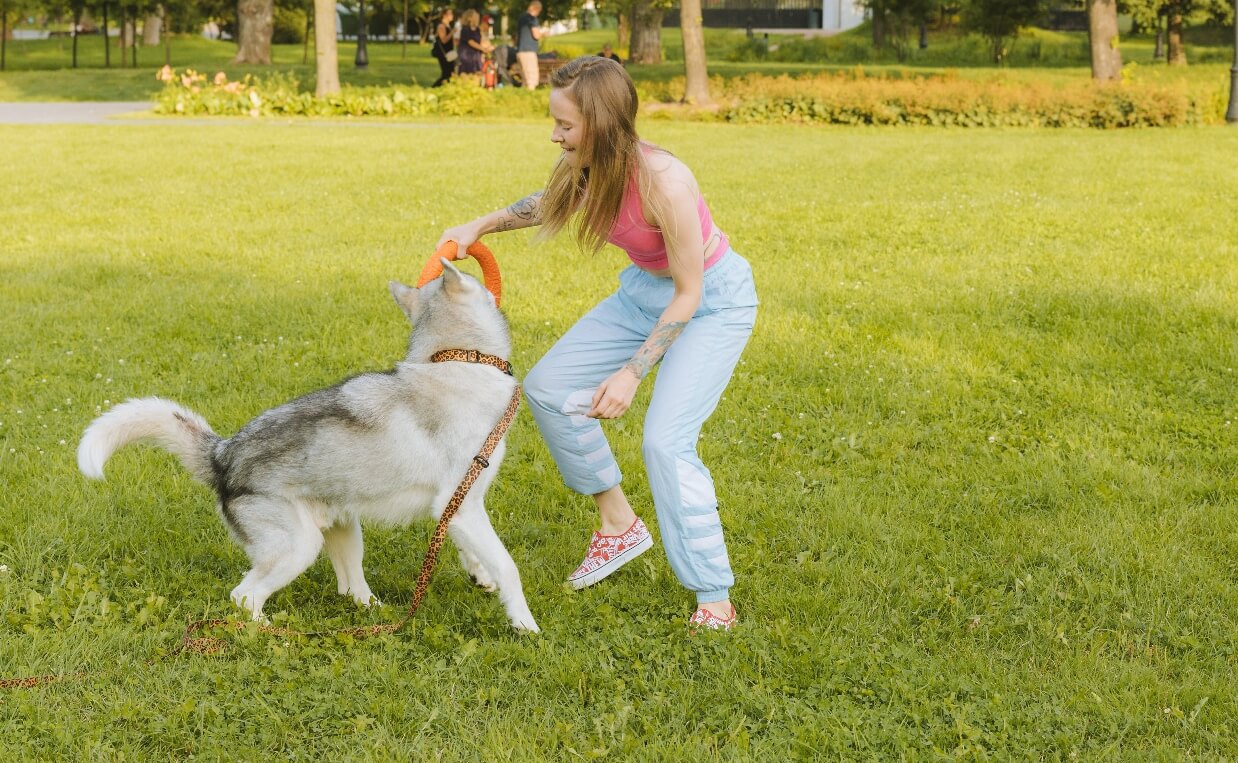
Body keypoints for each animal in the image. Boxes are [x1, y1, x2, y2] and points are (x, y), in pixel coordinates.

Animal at [77, 262, 539, 631]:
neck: (458, 359)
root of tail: (223, 455)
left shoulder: (457, 507)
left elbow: (470, 549)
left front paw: (480, 576)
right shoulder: (462, 503)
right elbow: (509, 566)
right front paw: (524, 624)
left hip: (344, 529)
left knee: (351, 589)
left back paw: (377, 617)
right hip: (297, 548)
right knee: (244, 596)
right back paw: (272, 632)